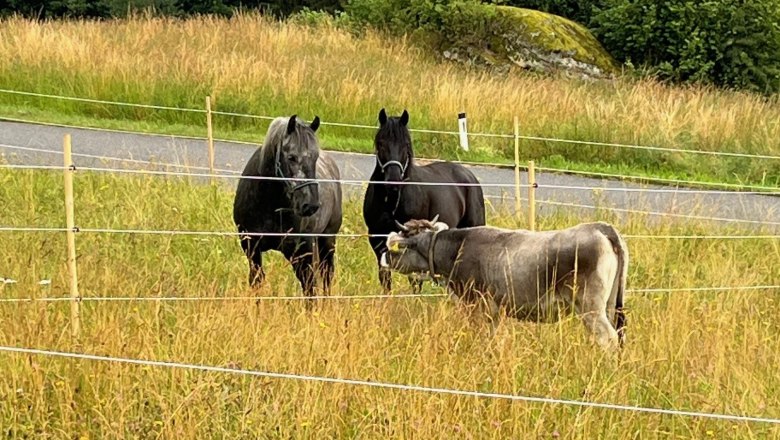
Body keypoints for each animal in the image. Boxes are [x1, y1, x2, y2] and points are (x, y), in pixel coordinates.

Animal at [233, 115, 343, 298]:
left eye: (314, 158)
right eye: (291, 157)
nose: (310, 205)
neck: (269, 204)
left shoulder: (301, 252)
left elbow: (310, 289)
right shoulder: (251, 247)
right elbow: (257, 282)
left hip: (327, 241)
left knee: (327, 276)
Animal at [363, 108, 486, 293]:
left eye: (406, 144)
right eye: (381, 143)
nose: (393, 182)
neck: (392, 203)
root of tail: (468, 175)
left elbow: (415, 279)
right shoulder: (377, 239)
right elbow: (385, 277)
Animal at [380, 217, 628, 351]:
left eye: (398, 246)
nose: (384, 256)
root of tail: (600, 227)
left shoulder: (478, 305)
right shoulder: (495, 311)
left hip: (591, 308)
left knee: (608, 339)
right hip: (609, 305)